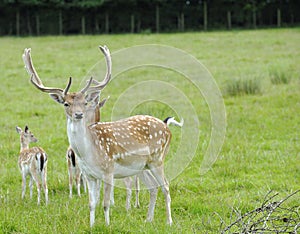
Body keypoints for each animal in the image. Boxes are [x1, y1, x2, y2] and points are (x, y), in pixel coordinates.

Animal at [22, 45, 182, 227]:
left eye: (85, 103)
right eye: (66, 103)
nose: (78, 114)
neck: (89, 152)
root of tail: (167, 128)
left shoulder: (108, 171)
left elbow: (105, 203)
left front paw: (107, 225)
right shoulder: (89, 175)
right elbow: (92, 203)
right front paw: (91, 225)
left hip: (157, 158)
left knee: (166, 186)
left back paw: (169, 221)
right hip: (142, 166)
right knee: (153, 186)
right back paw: (148, 219)